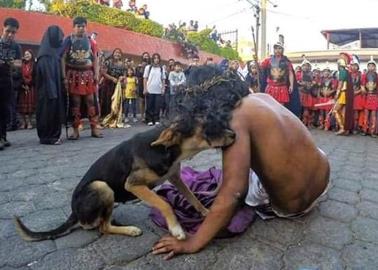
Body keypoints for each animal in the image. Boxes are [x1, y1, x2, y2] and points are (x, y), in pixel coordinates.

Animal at [14, 122, 235, 240]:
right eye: (208, 128)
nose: (234, 134)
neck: (165, 149)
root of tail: (74, 212)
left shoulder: (174, 176)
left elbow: (192, 197)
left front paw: (205, 211)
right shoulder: (133, 184)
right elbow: (164, 203)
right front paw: (176, 229)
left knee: (102, 222)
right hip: (102, 187)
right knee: (101, 227)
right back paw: (129, 229)